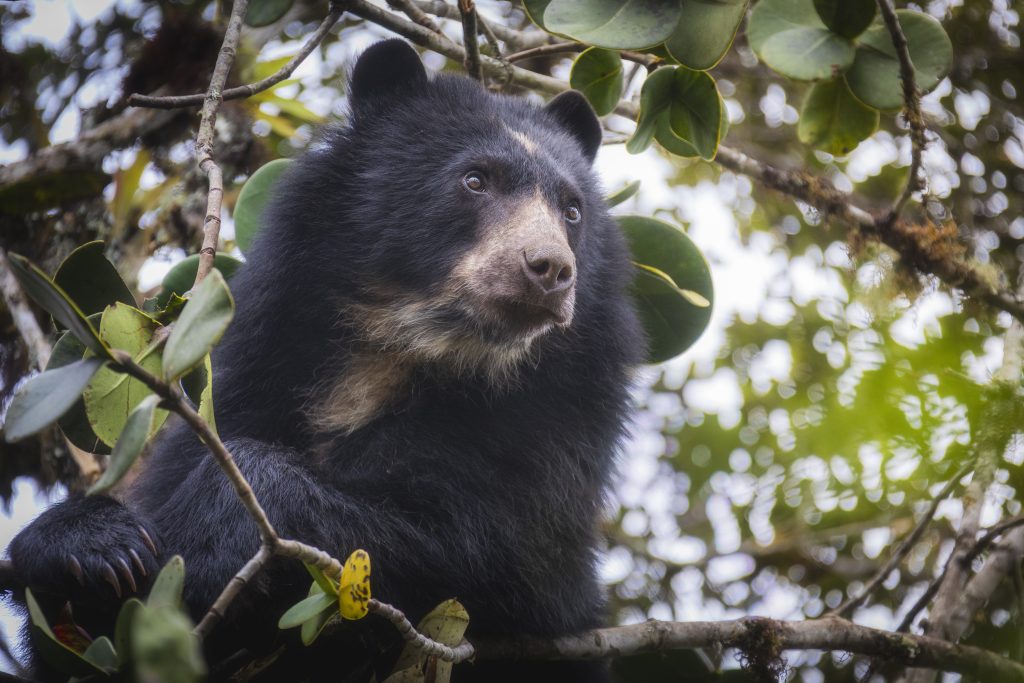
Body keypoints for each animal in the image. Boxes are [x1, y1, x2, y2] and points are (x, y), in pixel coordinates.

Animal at [9, 39, 645, 682]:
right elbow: (76, 635)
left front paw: (208, 543)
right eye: (474, 180)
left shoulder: (549, 436)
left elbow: (491, 553)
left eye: (572, 210)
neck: (407, 350)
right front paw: (99, 547)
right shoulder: (258, 370)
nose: (549, 269)